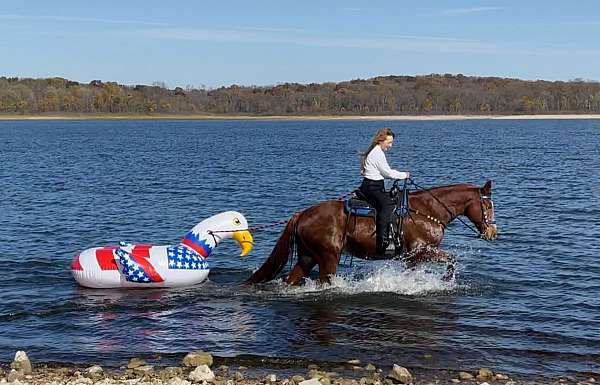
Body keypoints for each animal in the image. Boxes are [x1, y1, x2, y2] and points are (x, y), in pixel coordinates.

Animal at [246, 181, 500, 284]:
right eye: (488, 205)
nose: (493, 232)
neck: (428, 211)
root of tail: (301, 215)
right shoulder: (423, 251)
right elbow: (452, 259)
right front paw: (447, 279)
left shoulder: (412, 259)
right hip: (328, 257)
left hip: (308, 257)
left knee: (292, 279)